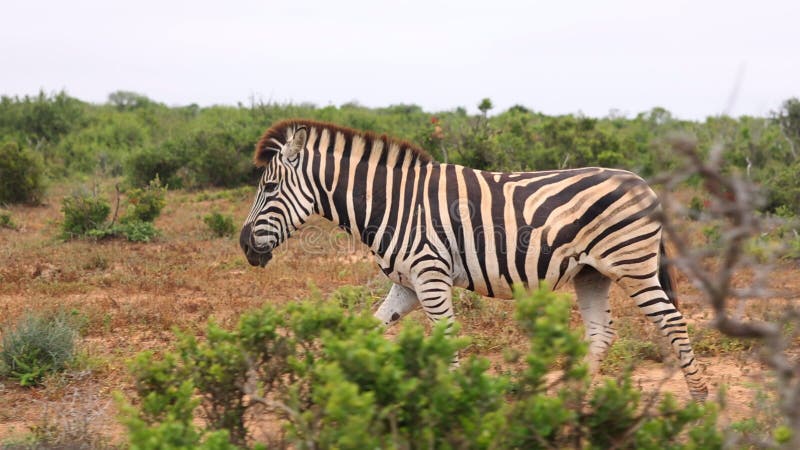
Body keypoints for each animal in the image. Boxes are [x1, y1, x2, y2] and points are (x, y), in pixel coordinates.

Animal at [241, 118, 708, 400]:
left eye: (269, 188)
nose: (245, 246)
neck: (391, 206)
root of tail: (644, 184)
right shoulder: (407, 286)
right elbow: (366, 331)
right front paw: (334, 385)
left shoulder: (430, 276)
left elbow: (447, 340)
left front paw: (454, 406)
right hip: (590, 273)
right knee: (602, 333)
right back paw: (567, 401)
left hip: (633, 266)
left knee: (672, 322)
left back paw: (699, 399)